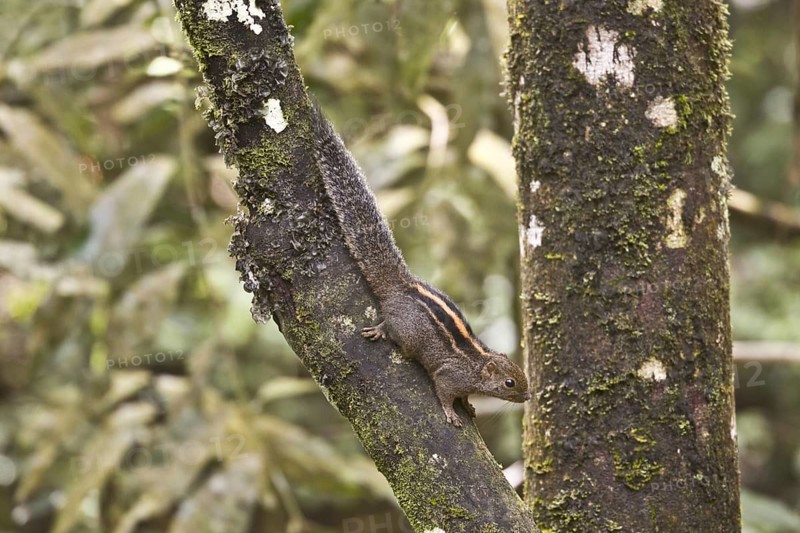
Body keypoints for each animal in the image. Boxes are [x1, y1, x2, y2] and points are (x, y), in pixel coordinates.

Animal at [310, 103, 531, 427]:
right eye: (509, 383)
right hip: (407, 332)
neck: (476, 364)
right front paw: (452, 412)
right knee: (392, 328)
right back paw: (381, 331)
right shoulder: (449, 376)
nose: (527, 396)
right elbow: (445, 393)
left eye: (521, 376)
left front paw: (470, 405)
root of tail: (402, 286)